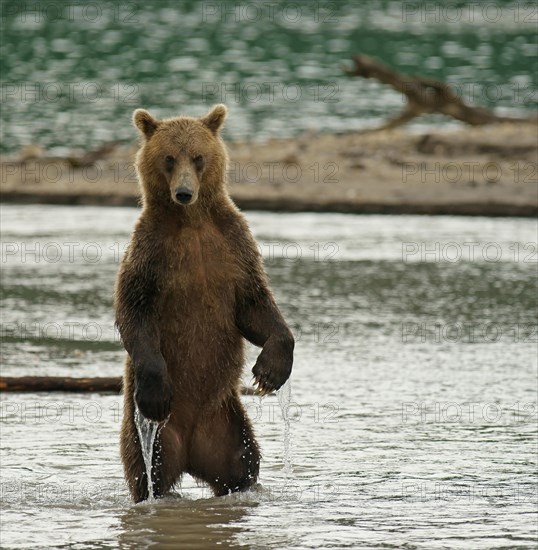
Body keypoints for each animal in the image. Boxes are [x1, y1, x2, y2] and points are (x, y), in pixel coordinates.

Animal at [114, 103, 296, 504]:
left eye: (198, 157)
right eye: (169, 157)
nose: (184, 192)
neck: (191, 222)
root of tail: (191, 448)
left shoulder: (233, 246)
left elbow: (254, 305)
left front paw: (270, 371)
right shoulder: (150, 253)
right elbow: (134, 311)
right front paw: (156, 389)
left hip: (226, 422)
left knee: (243, 461)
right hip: (153, 432)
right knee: (146, 469)